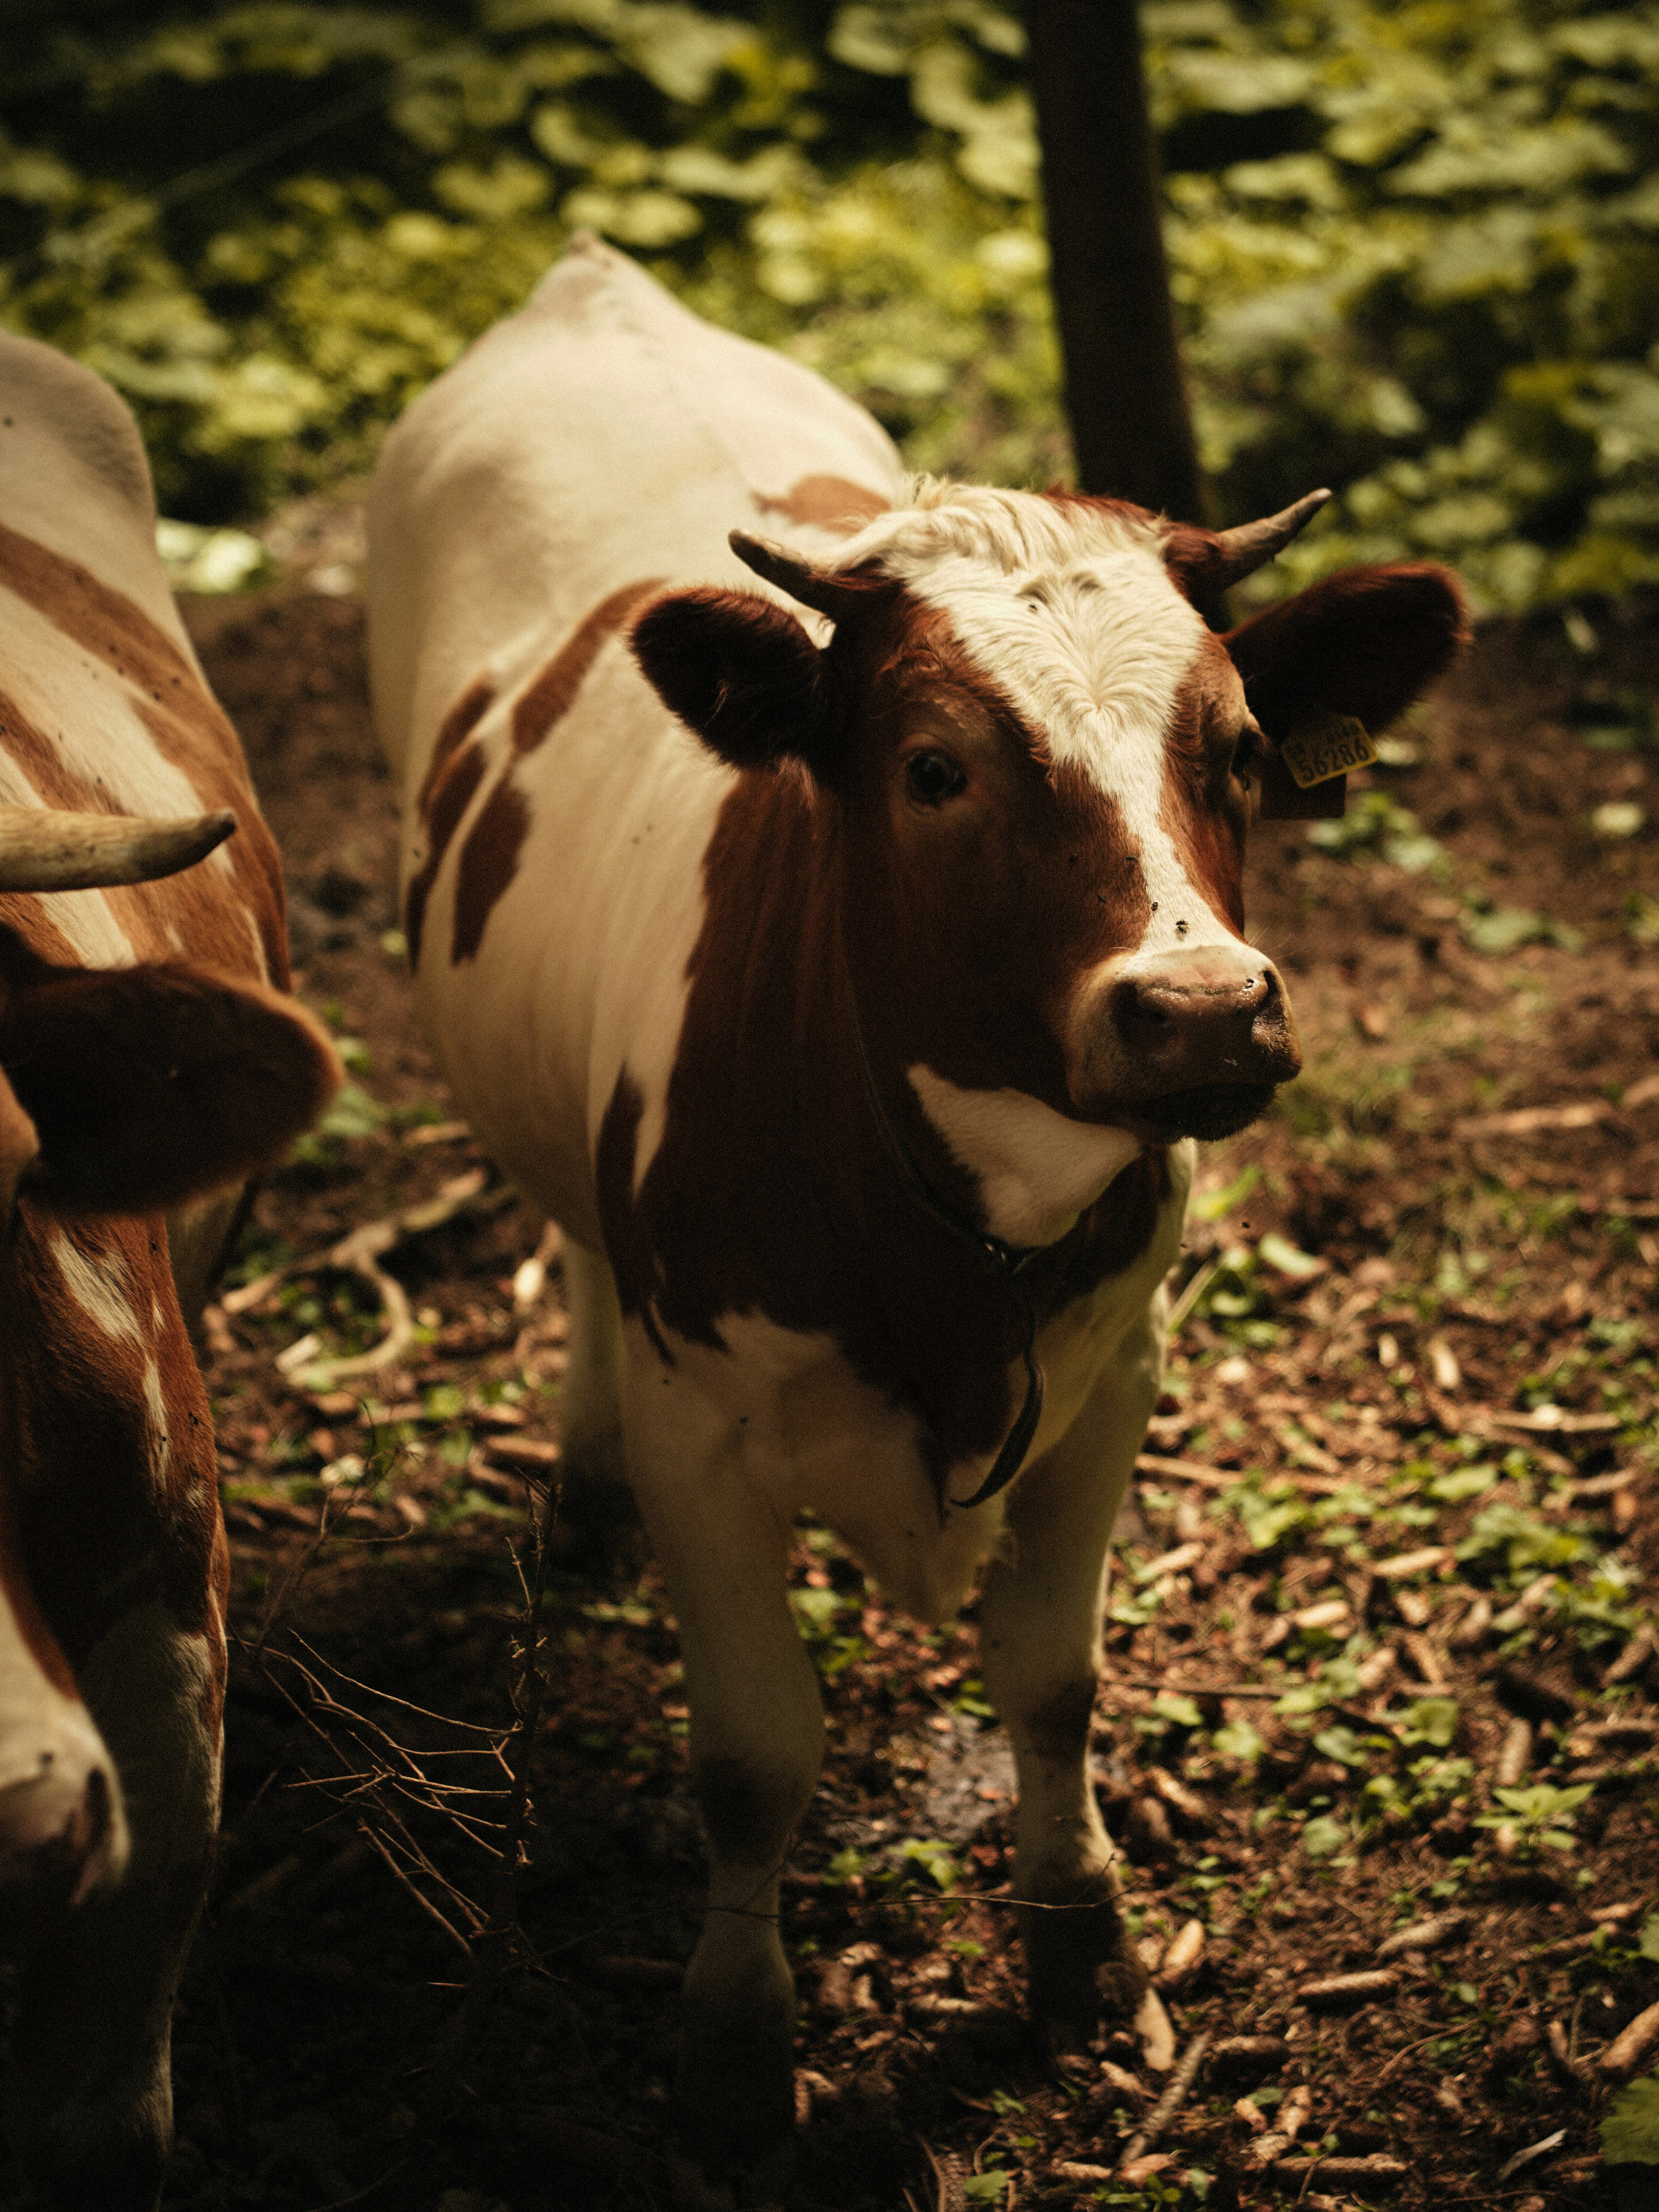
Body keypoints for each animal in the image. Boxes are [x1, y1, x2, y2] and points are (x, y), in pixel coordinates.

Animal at [367, 234, 1467, 2191]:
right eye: (935, 766)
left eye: (1238, 747)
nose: (1203, 1009)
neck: (952, 1239)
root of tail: (590, 279)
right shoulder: (705, 1424)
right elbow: (752, 1755)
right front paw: (736, 2041)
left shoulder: (1113, 1380)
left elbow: (1049, 1680)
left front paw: (1083, 1949)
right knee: (569, 1232)